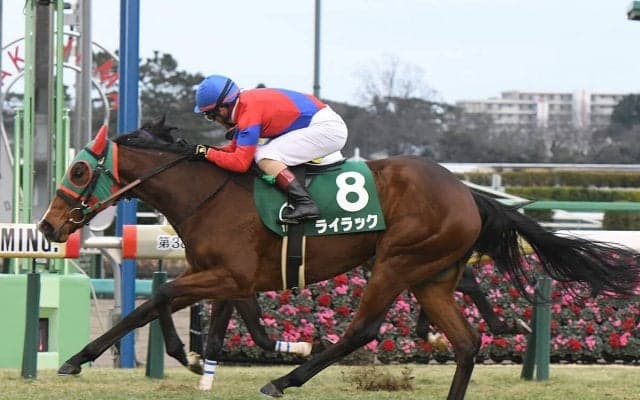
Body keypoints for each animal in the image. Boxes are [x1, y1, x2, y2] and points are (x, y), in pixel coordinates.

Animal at [38, 118, 640, 399]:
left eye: (78, 170)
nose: (46, 227)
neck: (208, 191)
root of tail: (469, 194)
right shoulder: (228, 276)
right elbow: (175, 307)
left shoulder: (229, 273)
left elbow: (159, 297)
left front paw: (88, 358)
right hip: (432, 277)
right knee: (467, 342)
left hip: (397, 262)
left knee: (364, 329)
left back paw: (285, 380)